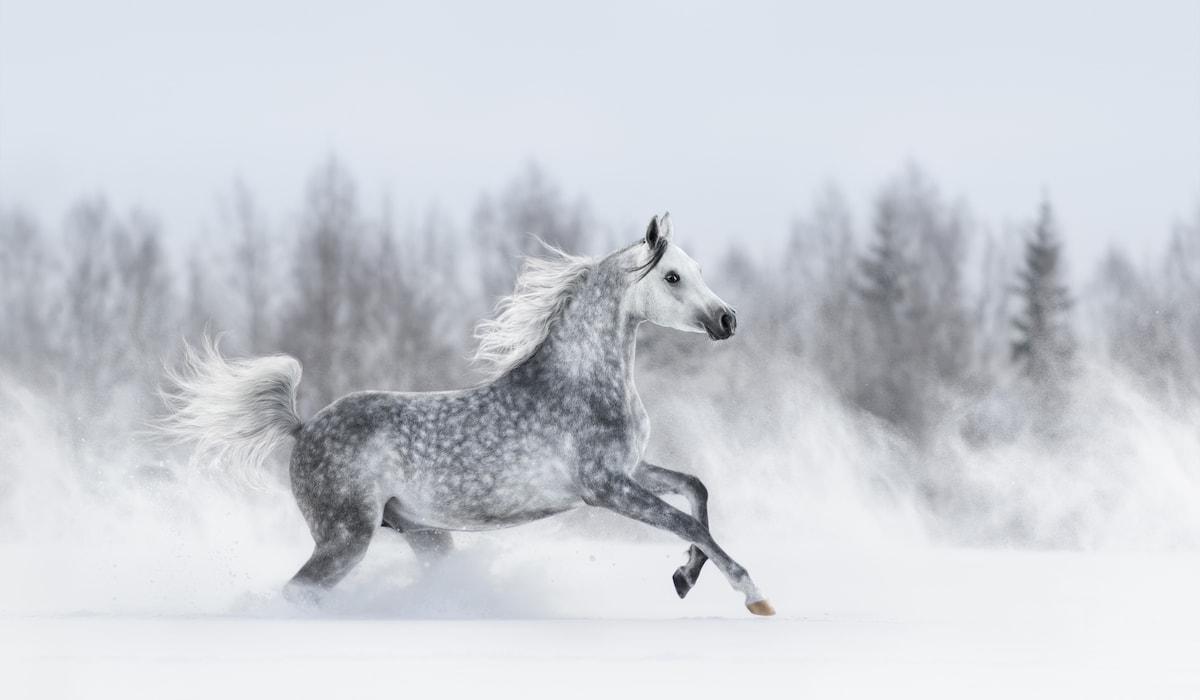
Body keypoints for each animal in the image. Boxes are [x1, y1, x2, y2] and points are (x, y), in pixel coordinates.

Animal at [161, 213, 774, 616]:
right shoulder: (604, 487)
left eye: (697, 269)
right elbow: (687, 520)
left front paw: (684, 577)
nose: (728, 319)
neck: (582, 381)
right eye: (672, 277)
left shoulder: (631, 470)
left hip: (424, 534)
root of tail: (303, 425)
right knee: (299, 591)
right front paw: (754, 595)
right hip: (345, 537)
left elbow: (696, 491)